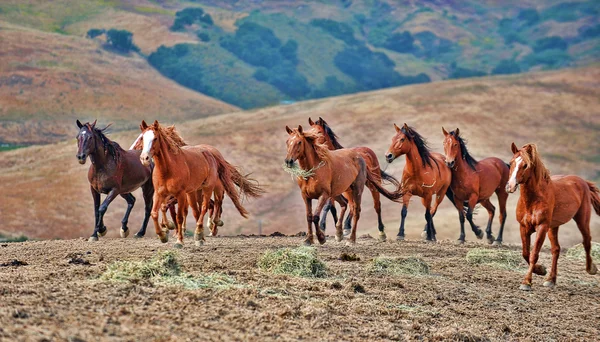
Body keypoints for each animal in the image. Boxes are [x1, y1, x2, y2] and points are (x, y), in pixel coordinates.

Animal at [506, 143, 600, 290]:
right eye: (511, 163)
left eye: (525, 165)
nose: (510, 186)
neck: (533, 200)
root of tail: (582, 182)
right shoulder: (523, 227)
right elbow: (526, 253)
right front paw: (540, 270)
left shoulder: (542, 227)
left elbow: (533, 254)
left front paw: (526, 282)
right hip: (553, 227)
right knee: (556, 249)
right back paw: (551, 279)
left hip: (582, 219)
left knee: (587, 241)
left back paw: (591, 268)